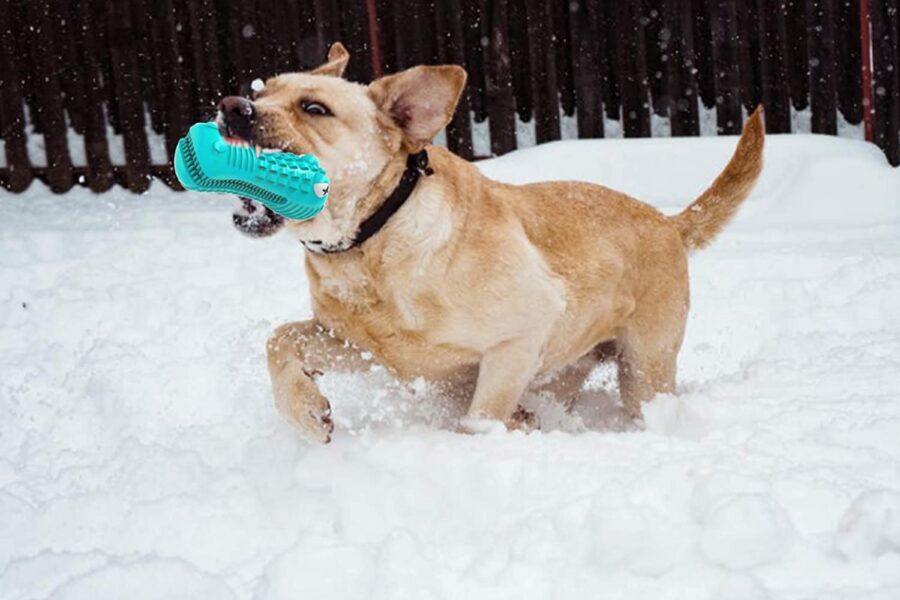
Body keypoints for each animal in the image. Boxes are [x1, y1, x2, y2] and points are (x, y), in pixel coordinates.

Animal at [216, 42, 760, 442]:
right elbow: (280, 339)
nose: (233, 108)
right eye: (262, 89)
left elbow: (480, 418)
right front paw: (306, 411)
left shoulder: (520, 336)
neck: (375, 240)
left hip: (645, 367)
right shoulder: (366, 348)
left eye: (314, 108)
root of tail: (668, 223)